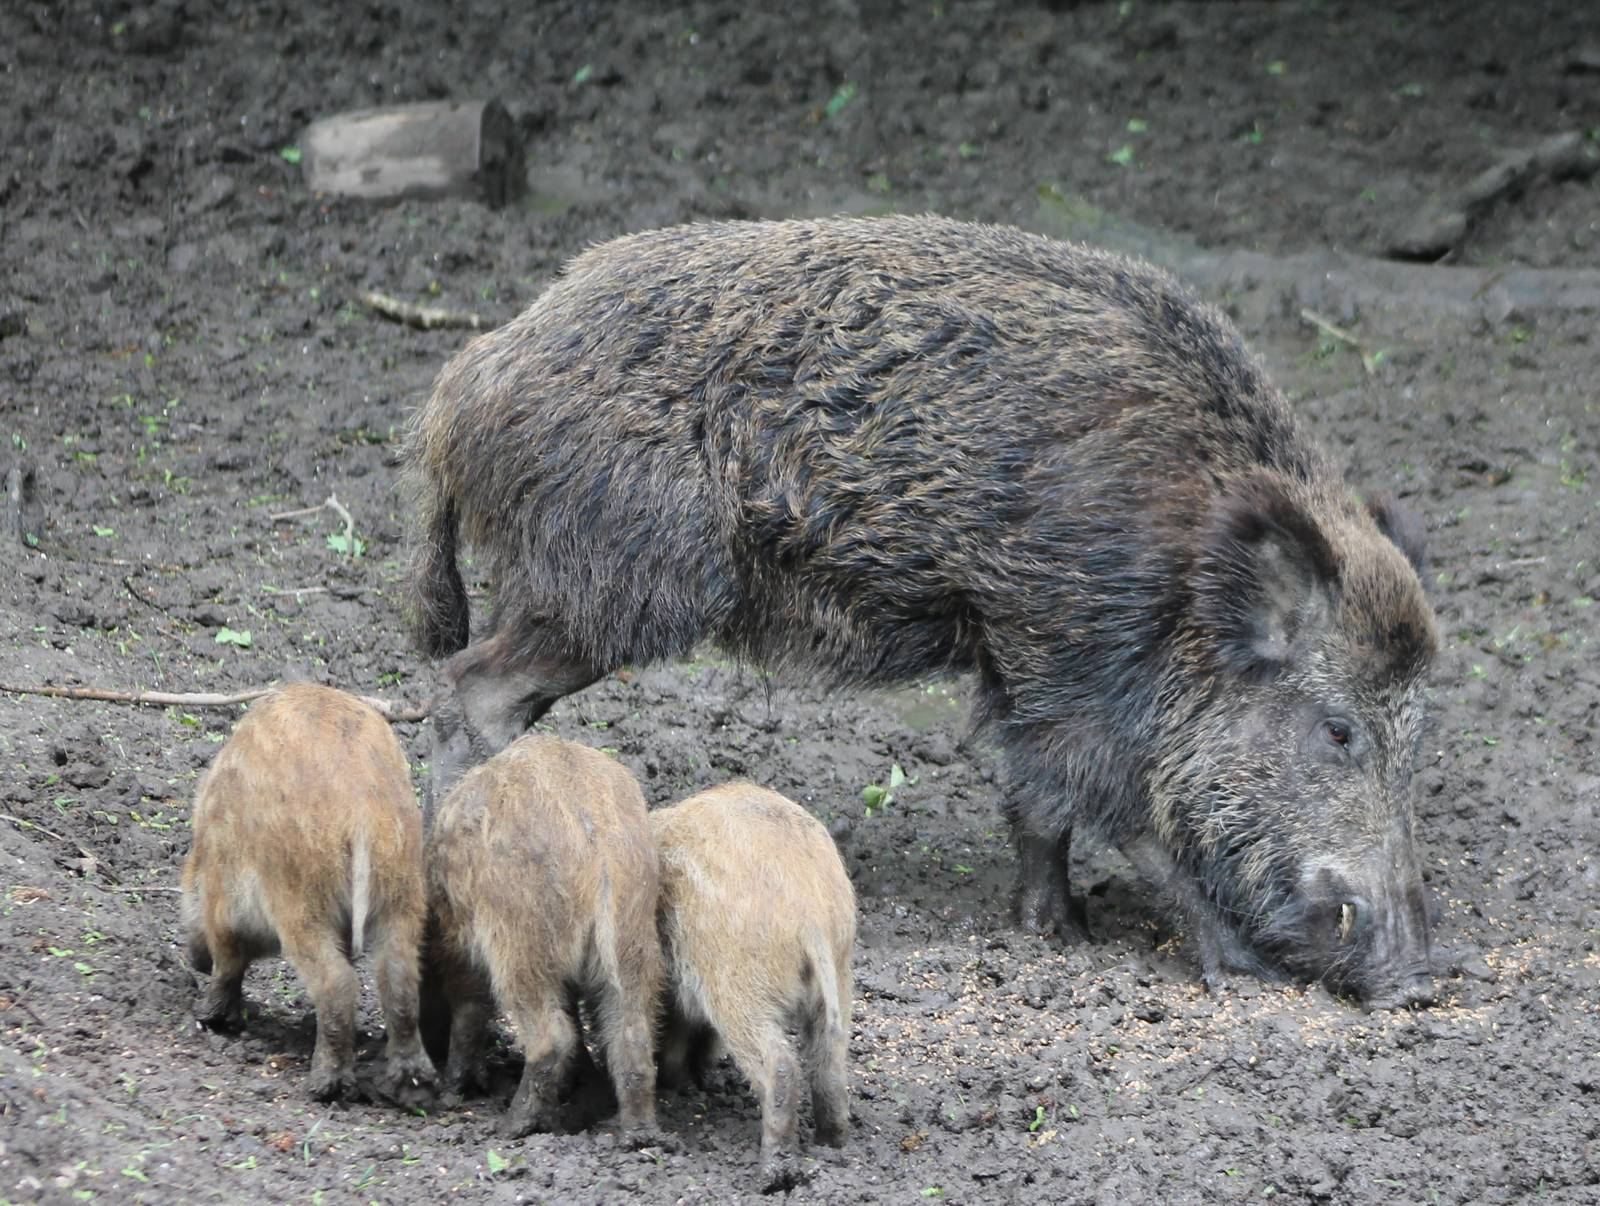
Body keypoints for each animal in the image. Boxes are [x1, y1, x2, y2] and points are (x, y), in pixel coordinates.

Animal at [180, 683, 437, 1106]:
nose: (194, 962)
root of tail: (362, 809)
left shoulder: (223, 906)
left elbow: (229, 962)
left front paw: (209, 1018)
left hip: (302, 901)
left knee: (338, 983)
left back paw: (324, 1087)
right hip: (401, 892)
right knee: (399, 979)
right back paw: (412, 1087)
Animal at [402, 215, 1440, 1008]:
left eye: (1418, 736)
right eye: (1338, 729)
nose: (1419, 982)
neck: (1180, 573)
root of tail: (468, 377)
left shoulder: (1017, 654)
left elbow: (1036, 805)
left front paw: (1054, 932)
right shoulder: (1067, 650)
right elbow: (1119, 808)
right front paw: (1234, 968)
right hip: (620, 585)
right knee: (467, 686)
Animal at [424, 733, 661, 1138]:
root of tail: (600, 850)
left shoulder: (460, 942)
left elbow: (469, 1009)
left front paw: (451, 1094)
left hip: (522, 947)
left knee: (552, 1037)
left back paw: (512, 1125)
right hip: (632, 942)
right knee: (632, 1035)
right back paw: (637, 1134)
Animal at [650, 783, 855, 1189]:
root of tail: (812, 917)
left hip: (739, 987)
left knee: (779, 1064)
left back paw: (773, 1172)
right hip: (837, 979)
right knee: (830, 1058)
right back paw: (832, 1142)